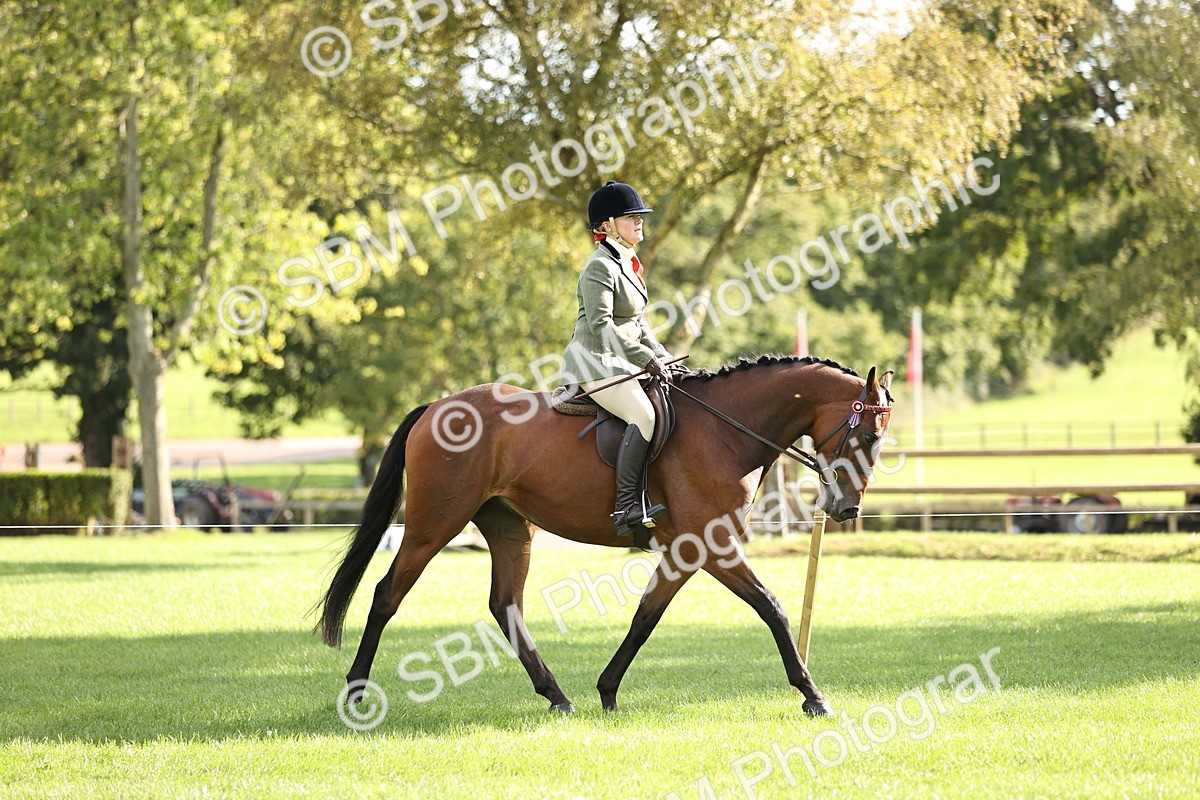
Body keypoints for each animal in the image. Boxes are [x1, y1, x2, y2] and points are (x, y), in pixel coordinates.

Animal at [316, 356, 894, 717]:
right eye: (867, 433)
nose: (847, 508)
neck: (727, 431)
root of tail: (435, 407)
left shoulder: (686, 552)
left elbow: (645, 617)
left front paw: (608, 691)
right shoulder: (712, 546)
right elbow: (772, 608)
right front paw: (813, 695)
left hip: (508, 527)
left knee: (505, 605)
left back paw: (557, 696)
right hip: (435, 523)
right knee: (386, 594)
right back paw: (355, 694)